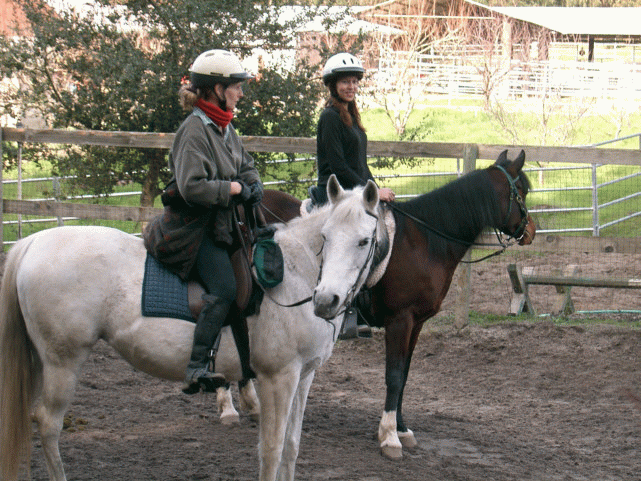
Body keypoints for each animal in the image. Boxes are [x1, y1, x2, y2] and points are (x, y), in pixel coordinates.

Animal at [0, 174, 385, 481]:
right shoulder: (278, 378)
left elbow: (291, 447)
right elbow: (271, 450)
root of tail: (32, 242)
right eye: (325, 237)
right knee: (47, 424)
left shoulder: (303, 376)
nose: (326, 300)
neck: (294, 274)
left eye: (364, 241)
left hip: (41, 360)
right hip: (62, 362)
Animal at [257, 150, 537, 459]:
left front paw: (401, 428)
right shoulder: (399, 320)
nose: (531, 231)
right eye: (521, 191)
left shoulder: (416, 323)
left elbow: (404, 374)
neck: (425, 241)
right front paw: (389, 436)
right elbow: (393, 375)